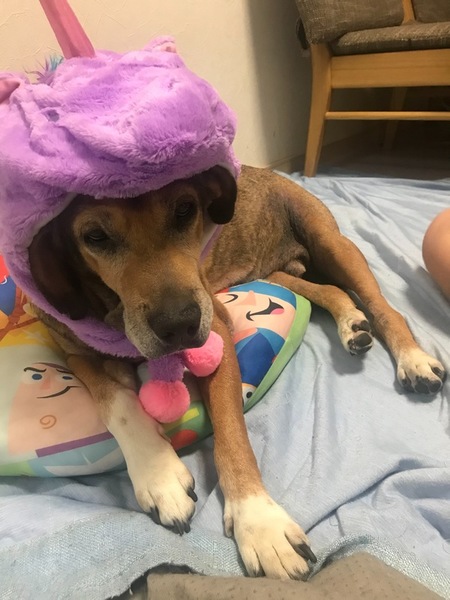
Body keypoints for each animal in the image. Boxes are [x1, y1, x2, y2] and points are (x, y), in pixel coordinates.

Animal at [28, 164, 446, 580]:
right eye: (95, 236)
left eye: (185, 209)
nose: (179, 324)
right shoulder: (76, 353)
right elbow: (116, 406)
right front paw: (158, 473)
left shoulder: (218, 332)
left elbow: (231, 431)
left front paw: (259, 522)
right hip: (274, 275)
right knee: (328, 290)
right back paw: (351, 323)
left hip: (330, 241)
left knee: (382, 306)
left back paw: (413, 360)